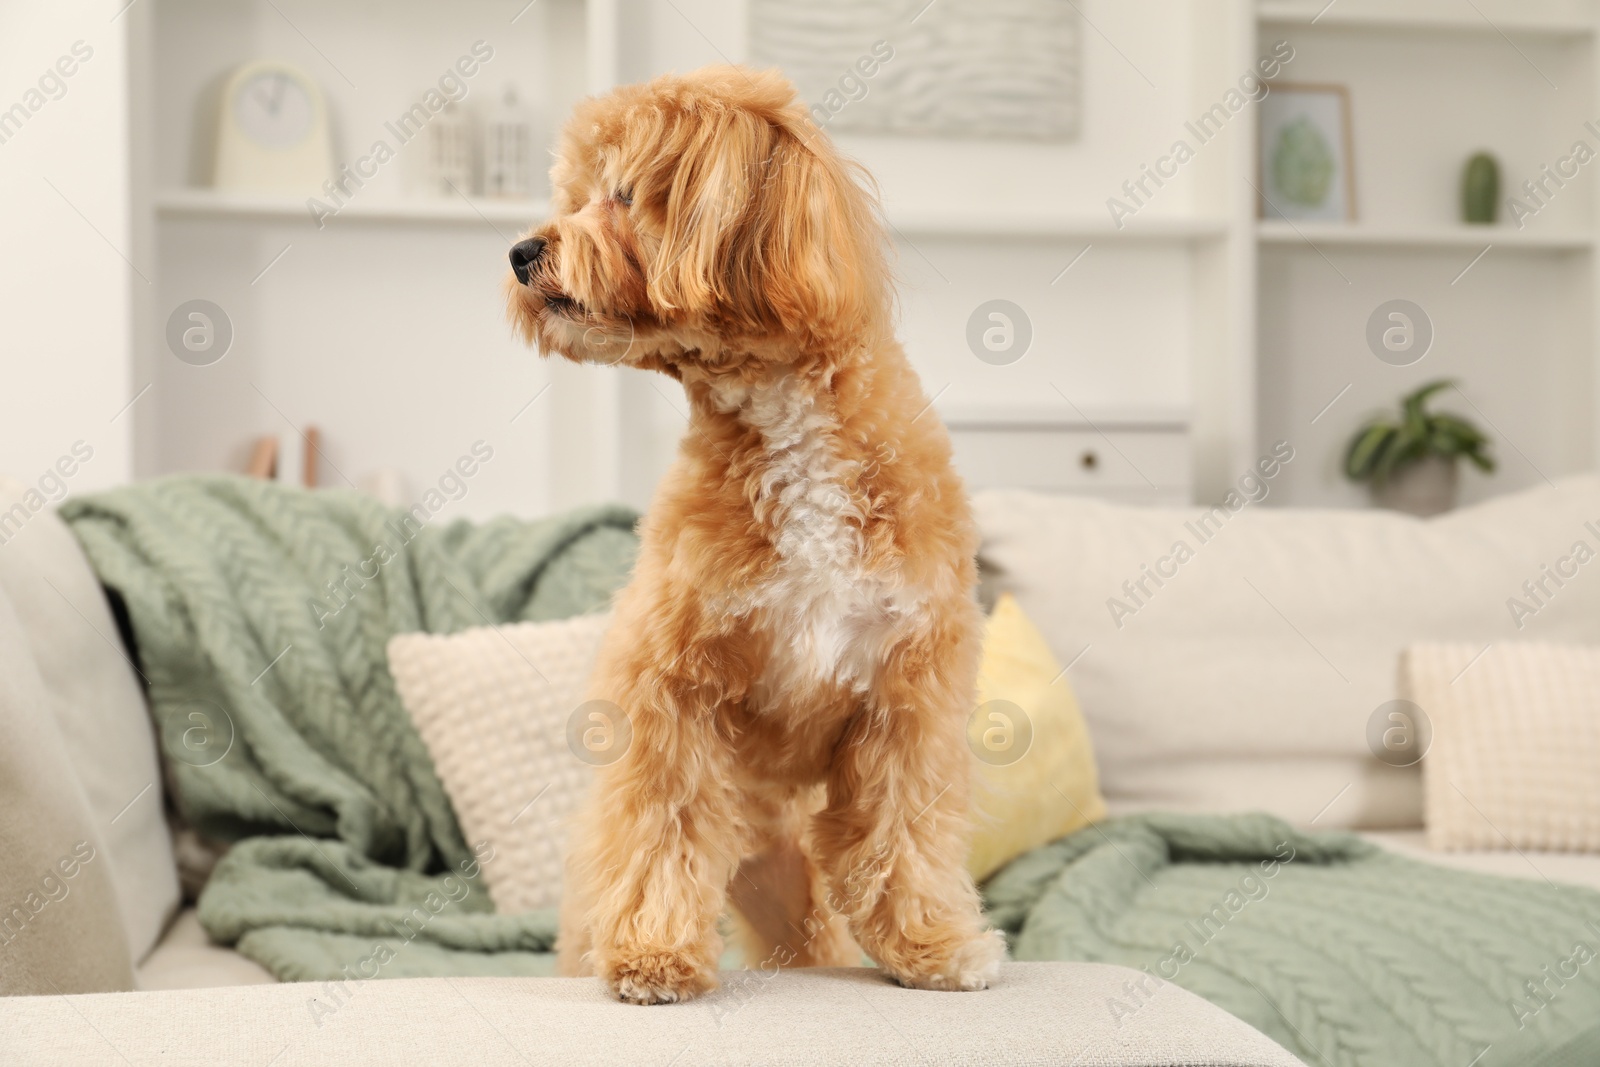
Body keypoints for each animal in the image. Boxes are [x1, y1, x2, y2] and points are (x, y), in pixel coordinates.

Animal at [502, 64, 998, 1004]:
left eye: (623, 194)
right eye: (573, 196)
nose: (518, 252)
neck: (787, 429)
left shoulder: (908, 692)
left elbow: (905, 826)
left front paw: (933, 944)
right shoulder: (672, 684)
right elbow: (661, 821)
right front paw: (653, 953)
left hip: (795, 891)